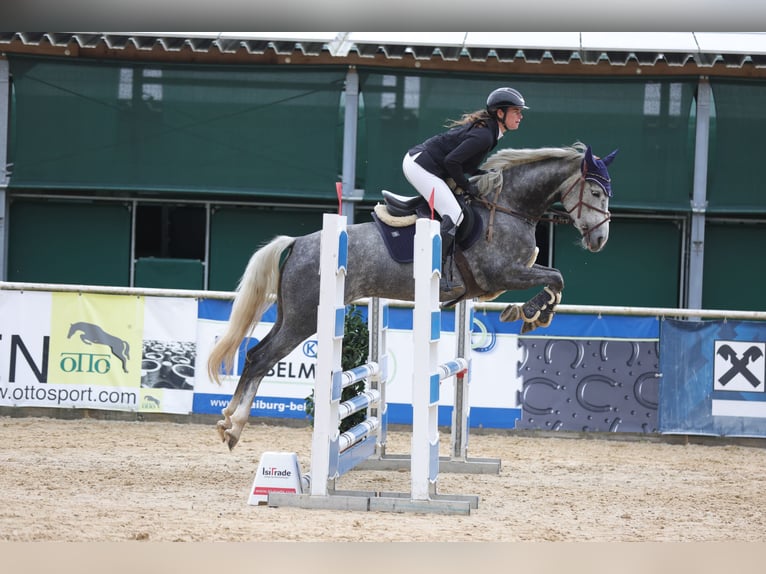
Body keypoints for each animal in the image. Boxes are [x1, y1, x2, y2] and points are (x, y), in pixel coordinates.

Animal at [208, 143, 616, 450]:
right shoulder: (503, 274)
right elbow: (556, 278)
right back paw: (234, 427)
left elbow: (553, 278)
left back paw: (228, 419)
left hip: (291, 314)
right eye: (596, 192)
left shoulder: (504, 278)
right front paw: (532, 313)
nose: (599, 240)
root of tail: (298, 242)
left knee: (256, 354)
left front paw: (530, 312)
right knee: (262, 357)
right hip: (304, 317)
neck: (508, 206)